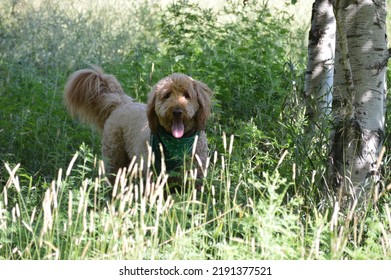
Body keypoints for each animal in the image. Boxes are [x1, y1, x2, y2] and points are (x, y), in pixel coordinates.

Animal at [63, 66, 214, 191]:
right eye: (167, 95)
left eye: (187, 95)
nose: (177, 111)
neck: (177, 141)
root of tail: (120, 104)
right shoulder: (154, 178)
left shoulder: (197, 177)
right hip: (114, 157)